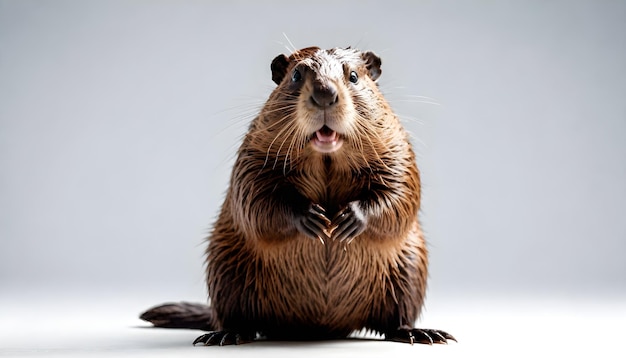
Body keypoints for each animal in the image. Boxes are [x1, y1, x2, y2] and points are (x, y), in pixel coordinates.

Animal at [140, 46, 454, 346]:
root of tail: (323, 328)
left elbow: (401, 189)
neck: (326, 158)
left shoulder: (395, 144)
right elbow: (253, 196)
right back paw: (225, 335)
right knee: (234, 316)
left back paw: (422, 333)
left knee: (396, 319)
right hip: (226, 269)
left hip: (409, 268)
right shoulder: (255, 148)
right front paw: (313, 219)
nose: (325, 94)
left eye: (353, 76)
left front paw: (346, 221)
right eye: (296, 75)